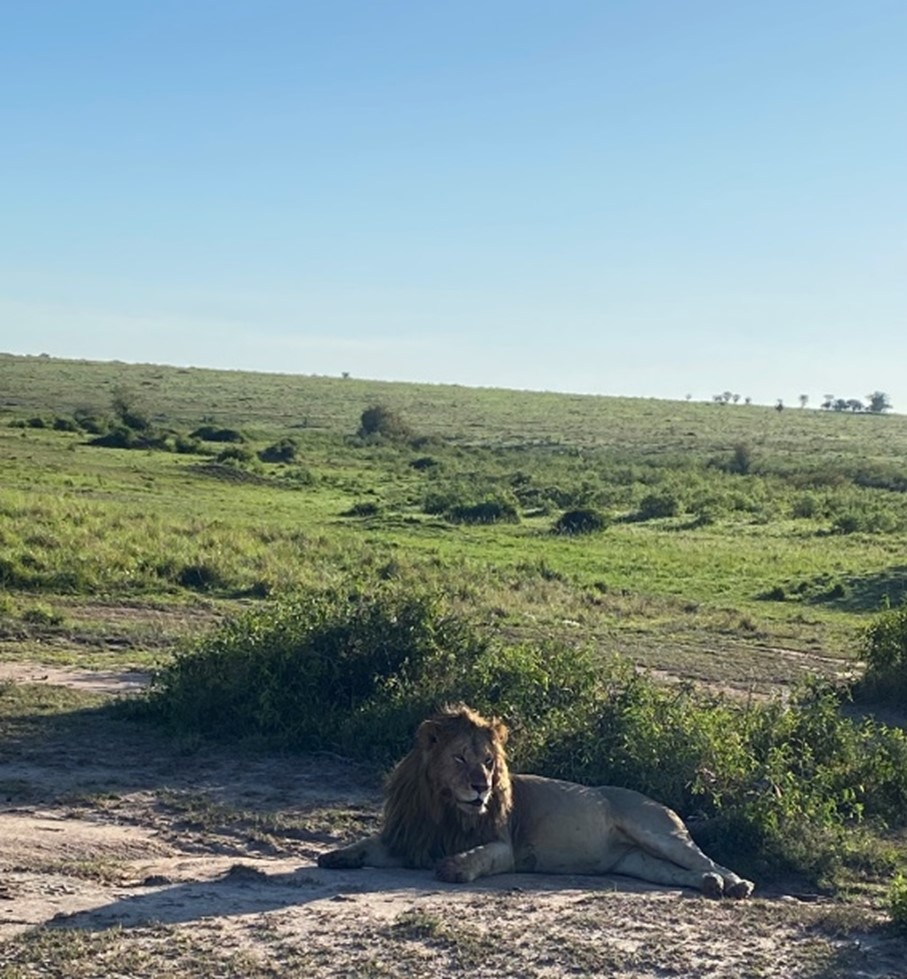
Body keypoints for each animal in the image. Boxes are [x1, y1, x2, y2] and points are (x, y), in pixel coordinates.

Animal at [316, 700, 756, 900]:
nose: (482, 788)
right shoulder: (409, 839)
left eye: (488, 762)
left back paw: (736, 885)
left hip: (657, 832)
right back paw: (710, 885)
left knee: (706, 859)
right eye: (459, 758)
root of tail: (662, 803)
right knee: (677, 872)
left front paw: (455, 867)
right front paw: (335, 856)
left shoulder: (505, 846)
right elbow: (366, 845)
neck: (445, 809)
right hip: (636, 861)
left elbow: (479, 856)